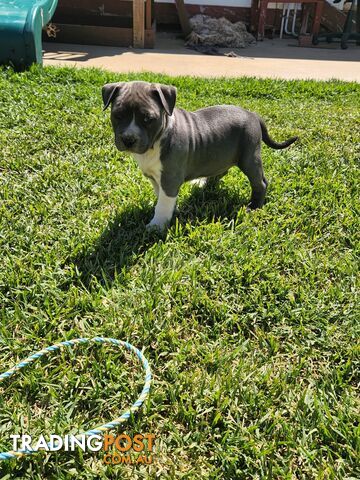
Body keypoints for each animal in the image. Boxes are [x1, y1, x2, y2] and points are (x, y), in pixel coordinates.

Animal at [102, 80, 298, 229]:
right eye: (117, 115)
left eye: (148, 119)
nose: (128, 139)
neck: (155, 142)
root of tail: (253, 115)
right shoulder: (155, 177)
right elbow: (161, 198)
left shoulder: (169, 178)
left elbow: (163, 204)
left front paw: (157, 225)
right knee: (221, 170)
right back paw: (203, 183)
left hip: (249, 157)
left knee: (260, 183)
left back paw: (254, 207)